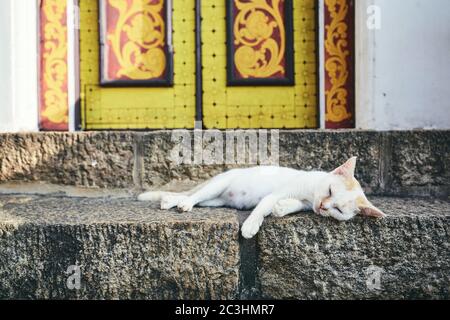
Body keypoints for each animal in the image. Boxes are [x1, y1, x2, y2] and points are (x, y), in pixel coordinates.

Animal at [139, 156, 384, 239]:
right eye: (330, 190)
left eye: (339, 210)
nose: (324, 206)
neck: (310, 192)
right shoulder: (277, 193)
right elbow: (262, 207)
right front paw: (250, 226)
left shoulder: (305, 204)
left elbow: (293, 205)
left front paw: (282, 208)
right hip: (218, 185)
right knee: (193, 195)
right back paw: (180, 203)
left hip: (217, 199)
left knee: (201, 199)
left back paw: (173, 200)